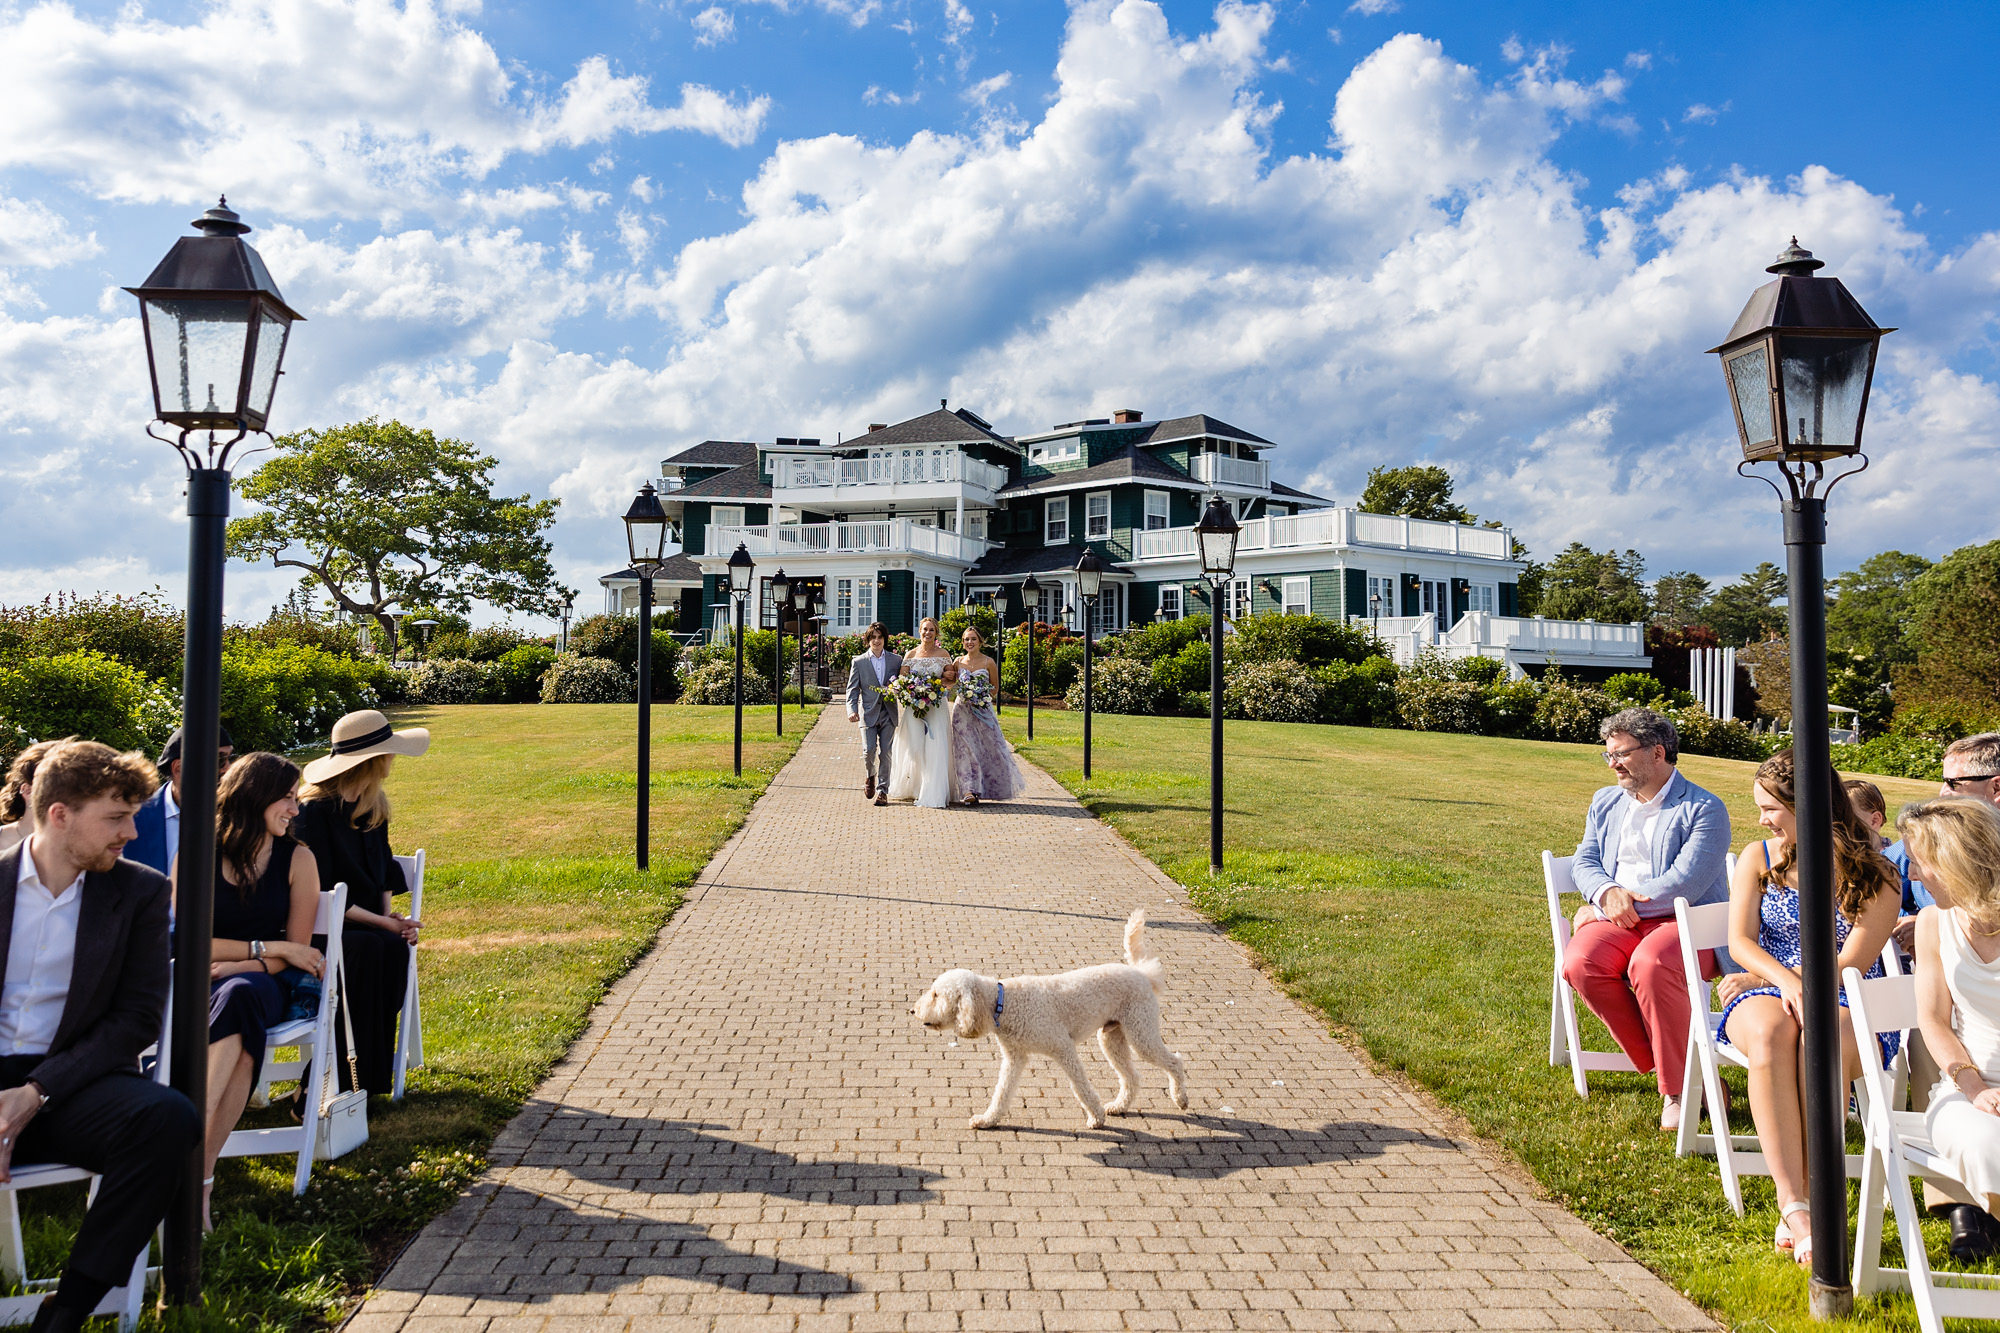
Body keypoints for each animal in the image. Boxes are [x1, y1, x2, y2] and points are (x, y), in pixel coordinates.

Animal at [916, 904, 1184, 1120]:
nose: (913, 1010)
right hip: (1112, 1037)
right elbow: (1002, 1092)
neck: (1003, 1004)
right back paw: (1119, 1106)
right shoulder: (1015, 1058)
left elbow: (1080, 1085)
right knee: (1132, 1077)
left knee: (1174, 1061)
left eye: (936, 994)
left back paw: (1181, 1098)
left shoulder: (1063, 1047)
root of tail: (1142, 974)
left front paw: (1095, 1117)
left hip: (1140, 1031)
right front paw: (988, 1120)